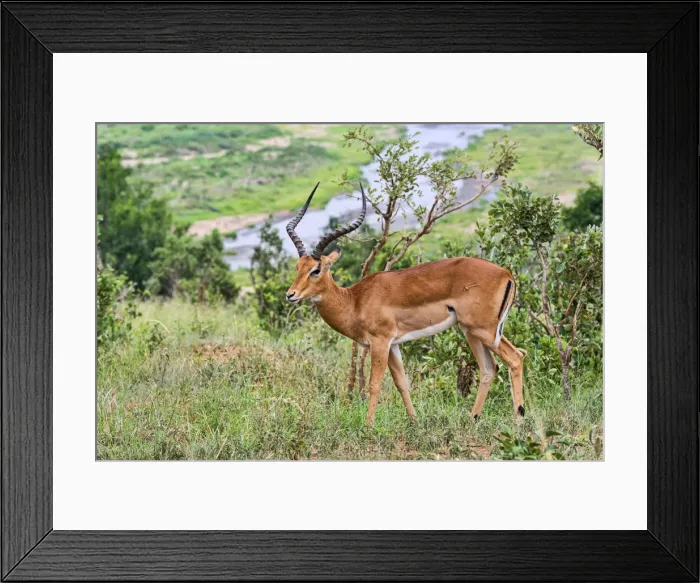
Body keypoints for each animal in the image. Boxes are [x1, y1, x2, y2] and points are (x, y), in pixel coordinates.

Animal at [285, 182, 526, 425]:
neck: (355, 300)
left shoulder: (380, 342)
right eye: (298, 267)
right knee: (489, 368)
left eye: (316, 270)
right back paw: (472, 419)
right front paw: (414, 421)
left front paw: (369, 426)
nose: (290, 294)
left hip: (483, 330)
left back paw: (517, 421)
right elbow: (402, 383)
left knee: (515, 358)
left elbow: (374, 384)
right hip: (472, 331)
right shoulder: (393, 344)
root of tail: (506, 274)